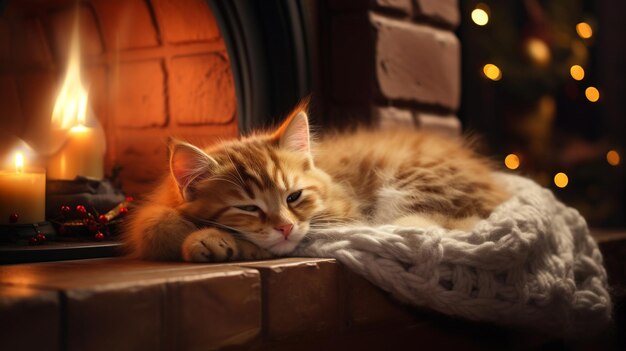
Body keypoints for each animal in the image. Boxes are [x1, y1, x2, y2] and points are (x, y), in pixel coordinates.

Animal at [125, 103, 508, 262]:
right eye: (248, 207)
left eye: (293, 197)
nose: (284, 227)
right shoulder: (156, 210)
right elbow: (156, 227)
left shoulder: (343, 215)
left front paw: (214, 240)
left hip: (417, 183)